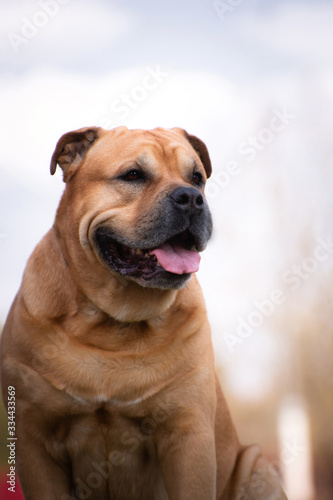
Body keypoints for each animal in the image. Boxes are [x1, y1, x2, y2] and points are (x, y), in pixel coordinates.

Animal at [0, 126, 286, 500]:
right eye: (133, 175)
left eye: (197, 177)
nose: (191, 197)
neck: (113, 321)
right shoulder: (34, 439)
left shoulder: (188, 435)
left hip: (257, 468)